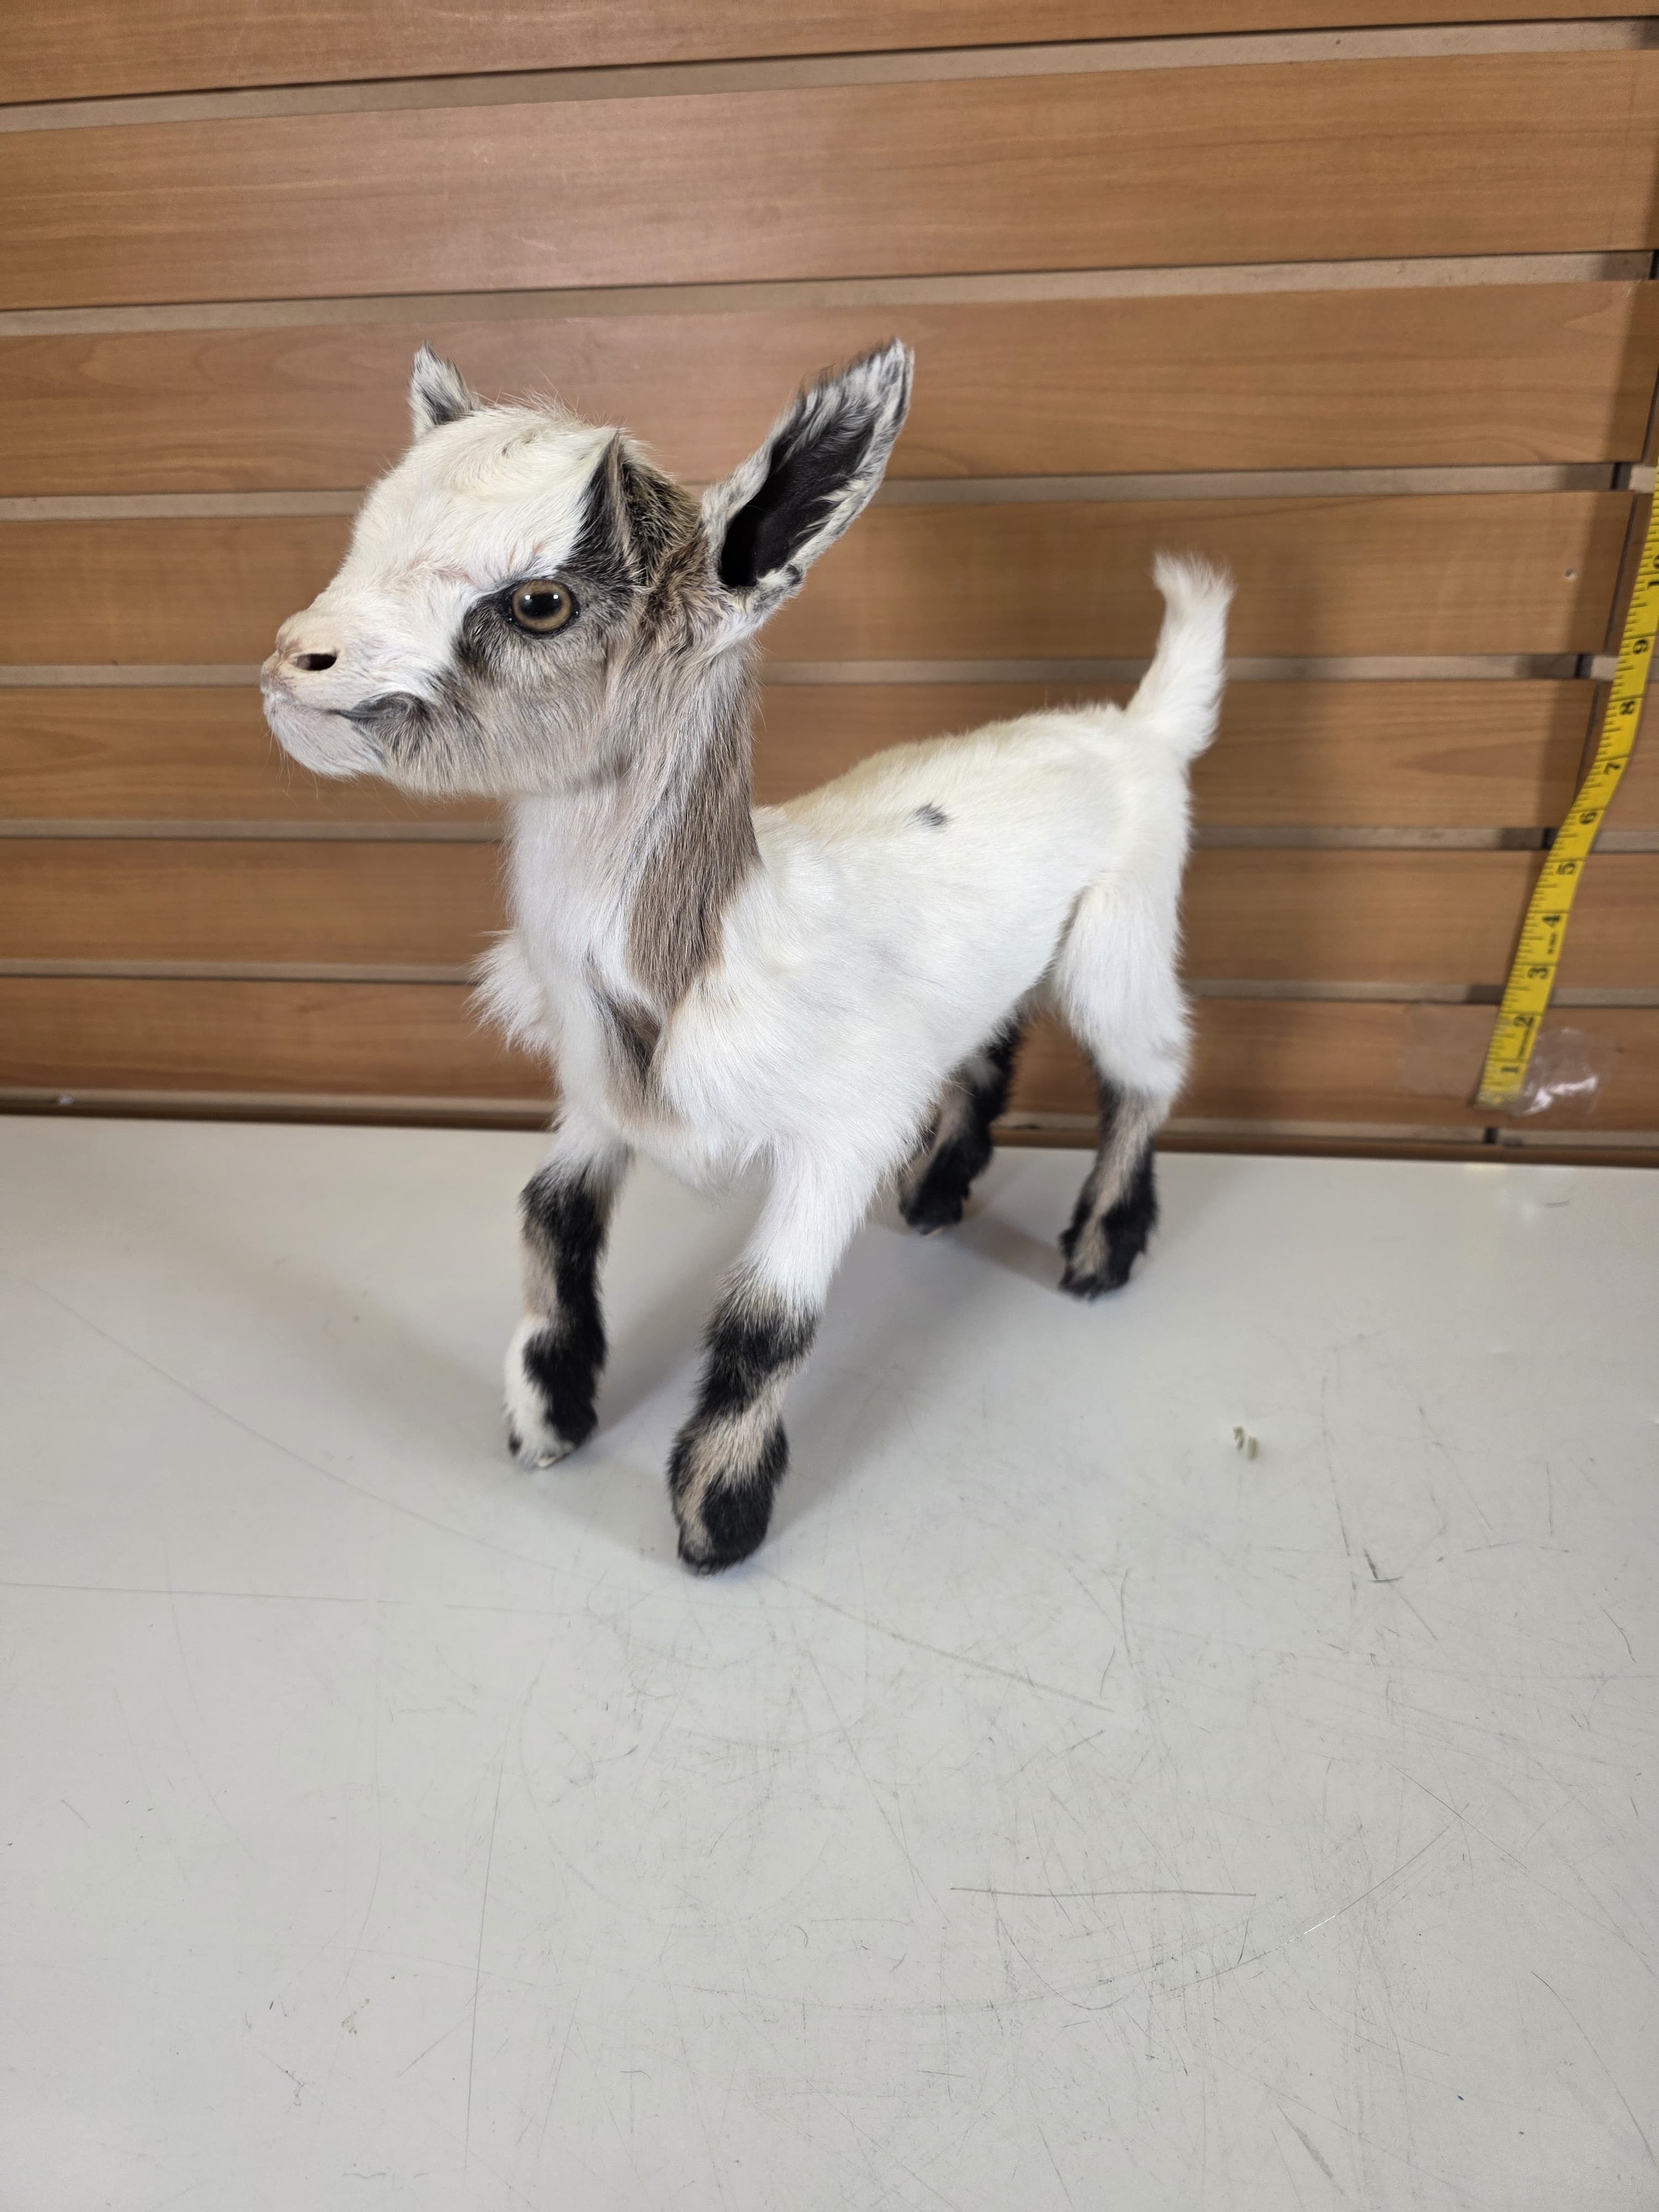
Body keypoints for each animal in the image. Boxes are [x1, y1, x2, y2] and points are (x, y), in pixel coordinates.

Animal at [262, 342, 1230, 1572]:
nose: (295, 661)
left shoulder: (839, 1131)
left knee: (1148, 1066)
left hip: (1125, 927)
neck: (720, 940)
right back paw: (938, 1194)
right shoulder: (606, 1099)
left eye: (540, 601)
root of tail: (1136, 729)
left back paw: (1101, 1255)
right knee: (991, 1037)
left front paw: (717, 1517)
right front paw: (548, 1414)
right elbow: (546, 1208)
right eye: (367, 535)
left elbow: (764, 1319)